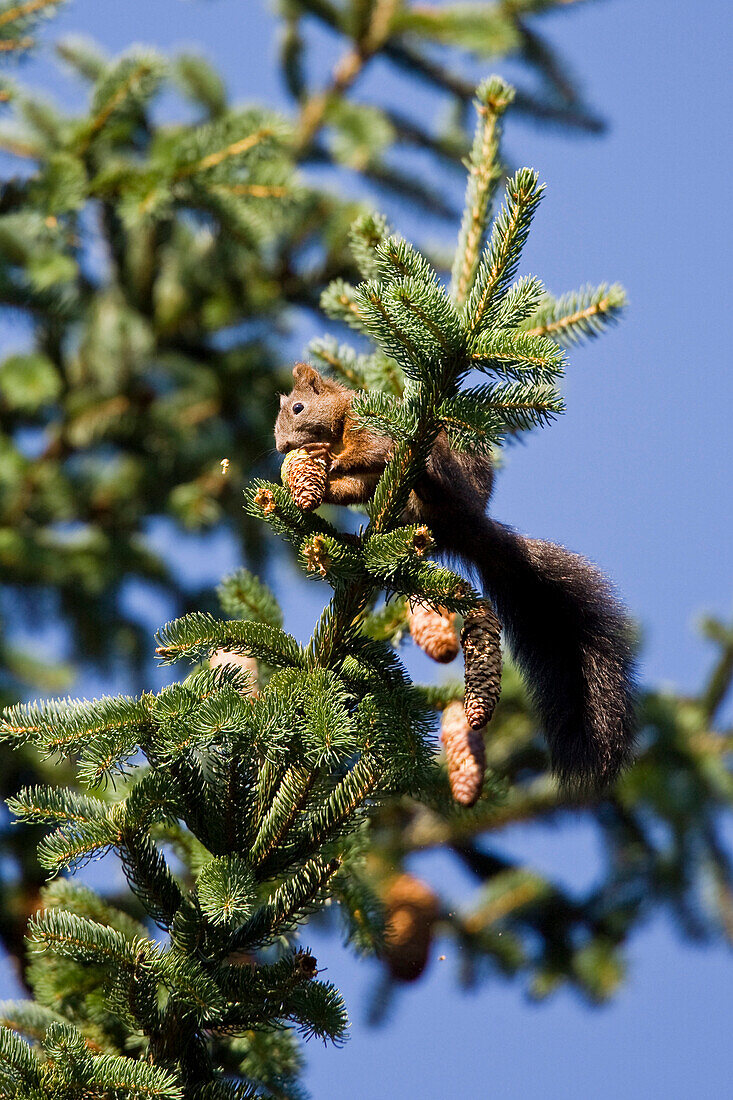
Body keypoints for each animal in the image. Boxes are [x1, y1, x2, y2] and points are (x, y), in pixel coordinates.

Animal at [274, 365, 633, 787]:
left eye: (298, 407)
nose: (281, 447)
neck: (341, 414)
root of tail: (470, 522)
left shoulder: (373, 428)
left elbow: (371, 452)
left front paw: (327, 461)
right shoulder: (367, 474)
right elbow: (358, 486)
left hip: (448, 472)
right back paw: (361, 537)